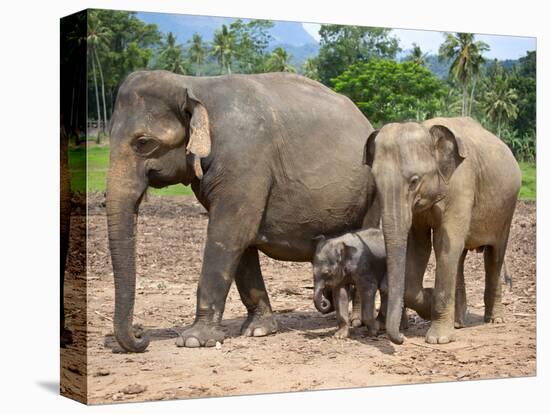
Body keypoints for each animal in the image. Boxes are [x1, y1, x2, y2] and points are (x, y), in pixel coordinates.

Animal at [106, 69, 380, 350]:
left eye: (143, 142)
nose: (141, 335)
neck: (193, 84)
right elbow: (242, 242)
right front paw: (259, 330)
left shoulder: (244, 162)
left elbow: (228, 234)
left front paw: (194, 339)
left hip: (371, 193)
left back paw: (357, 321)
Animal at [366, 117, 520, 346]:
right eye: (375, 182)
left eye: (414, 181)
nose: (401, 338)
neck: (426, 128)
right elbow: (420, 247)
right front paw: (429, 304)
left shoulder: (462, 186)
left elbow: (444, 246)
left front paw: (438, 339)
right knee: (461, 257)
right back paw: (458, 322)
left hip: (506, 210)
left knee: (494, 255)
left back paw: (495, 320)